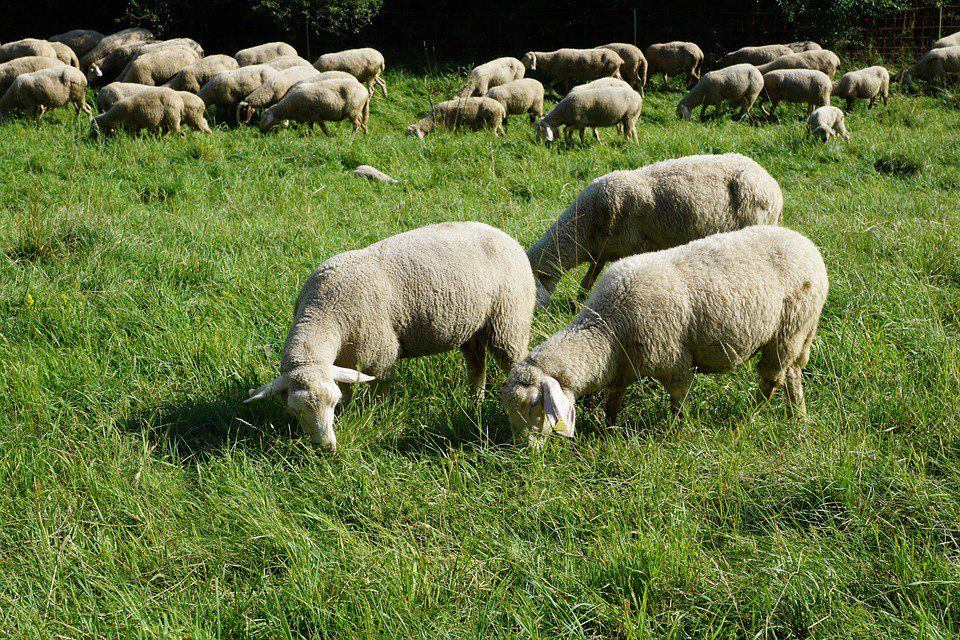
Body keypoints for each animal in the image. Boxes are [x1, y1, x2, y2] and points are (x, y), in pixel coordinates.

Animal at [245, 221, 536, 452]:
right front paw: (348, 415)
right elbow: (349, 389)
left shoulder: (379, 355)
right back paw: (474, 400)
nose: (326, 448)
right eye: (294, 410)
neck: (325, 312)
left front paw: (378, 417)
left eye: (331, 403)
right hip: (471, 326)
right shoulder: (345, 362)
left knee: (512, 359)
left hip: (508, 320)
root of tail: (503, 234)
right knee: (477, 364)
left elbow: (380, 392)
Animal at [502, 225, 828, 444]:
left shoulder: (676, 364)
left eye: (534, 404)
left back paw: (744, 420)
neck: (607, 330)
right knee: (793, 373)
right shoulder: (622, 366)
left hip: (789, 328)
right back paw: (797, 416)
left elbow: (677, 403)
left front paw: (676, 432)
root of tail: (808, 245)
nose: (525, 451)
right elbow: (613, 401)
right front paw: (609, 429)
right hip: (802, 330)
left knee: (771, 379)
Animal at [526, 153, 783, 307]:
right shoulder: (603, 250)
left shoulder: (635, 246)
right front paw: (580, 301)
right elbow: (588, 279)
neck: (586, 224)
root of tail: (772, 184)